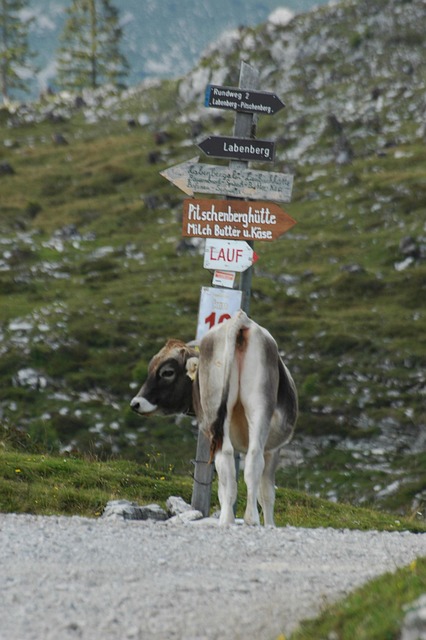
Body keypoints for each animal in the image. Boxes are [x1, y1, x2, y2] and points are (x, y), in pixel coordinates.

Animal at [130, 310, 298, 526]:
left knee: (232, 461)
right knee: (248, 459)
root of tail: (240, 320)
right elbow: (263, 492)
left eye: (167, 372)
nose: (136, 403)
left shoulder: (274, 448)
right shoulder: (271, 448)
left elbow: (261, 491)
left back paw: (232, 520)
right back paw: (245, 519)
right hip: (255, 409)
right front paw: (269, 525)